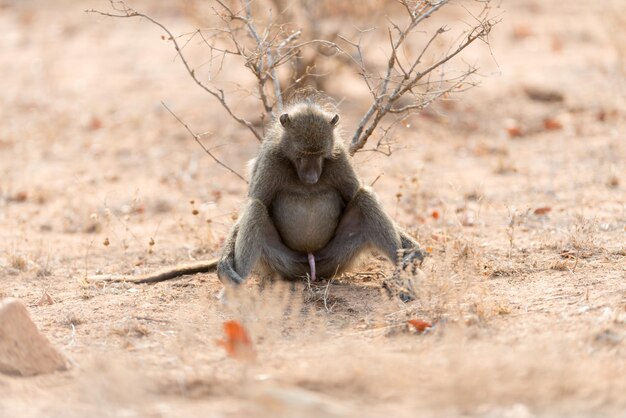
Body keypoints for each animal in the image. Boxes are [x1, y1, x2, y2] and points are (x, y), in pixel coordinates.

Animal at [88, 96, 422, 288]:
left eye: (319, 155)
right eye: (302, 155)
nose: (311, 177)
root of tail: (309, 266)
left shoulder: (338, 158)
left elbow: (354, 193)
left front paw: (414, 251)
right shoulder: (272, 160)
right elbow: (256, 201)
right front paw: (225, 266)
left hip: (334, 260)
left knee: (363, 197)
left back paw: (404, 278)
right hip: (282, 264)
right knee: (256, 210)